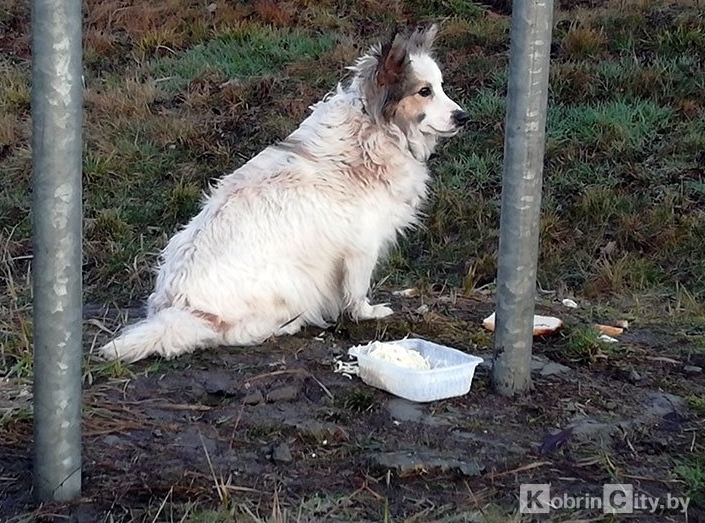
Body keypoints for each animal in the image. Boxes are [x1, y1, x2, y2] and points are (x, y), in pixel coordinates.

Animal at [96, 24, 464, 364]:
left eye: (441, 87)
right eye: (425, 91)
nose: (464, 116)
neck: (373, 129)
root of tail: (181, 307)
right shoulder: (362, 247)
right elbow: (357, 293)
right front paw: (368, 313)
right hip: (289, 282)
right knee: (234, 333)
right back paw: (288, 324)